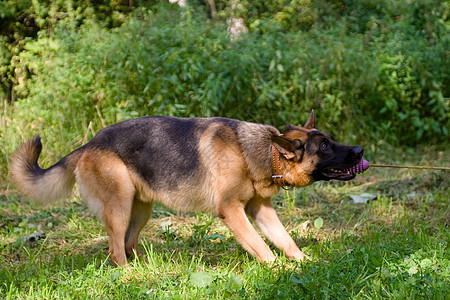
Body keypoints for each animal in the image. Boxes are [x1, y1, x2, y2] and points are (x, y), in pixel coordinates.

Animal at [11, 111, 370, 266]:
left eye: (330, 139)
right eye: (324, 146)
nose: (360, 151)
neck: (260, 152)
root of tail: (89, 144)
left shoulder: (262, 211)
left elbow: (286, 240)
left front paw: (306, 262)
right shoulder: (232, 212)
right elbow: (261, 246)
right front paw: (277, 269)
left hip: (141, 209)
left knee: (128, 244)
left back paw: (150, 271)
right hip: (120, 207)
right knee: (115, 251)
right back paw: (130, 277)